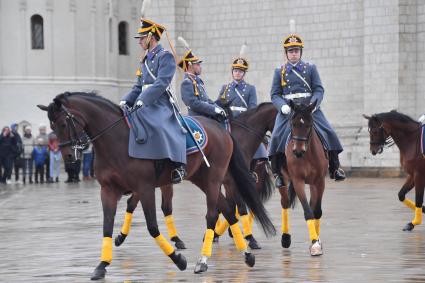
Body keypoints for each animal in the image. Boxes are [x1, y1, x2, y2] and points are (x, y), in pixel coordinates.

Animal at [114, 102, 276, 251]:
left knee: (137, 203)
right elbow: (237, 207)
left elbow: (229, 207)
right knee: (153, 205)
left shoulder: (224, 181)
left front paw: (220, 233)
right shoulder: (227, 181)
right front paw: (246, 237)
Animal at [282, 101, 328, 256]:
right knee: (285, 202)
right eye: (293, 123)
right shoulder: (298, 181)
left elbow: (316, 211)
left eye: (309, 125)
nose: (297, 151)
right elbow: (308, 211)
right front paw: (314, 243)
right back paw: (285, 238)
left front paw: (317, 241)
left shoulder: (319, 181)